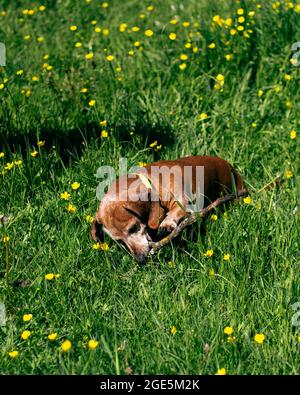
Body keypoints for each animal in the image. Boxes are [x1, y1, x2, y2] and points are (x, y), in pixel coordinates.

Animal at [92, 156, 244, 264]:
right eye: (120, 241)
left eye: (133, 228)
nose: (140, 260)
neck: (153, 181)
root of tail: (231, 168)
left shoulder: (183, 201)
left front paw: (167, 223)